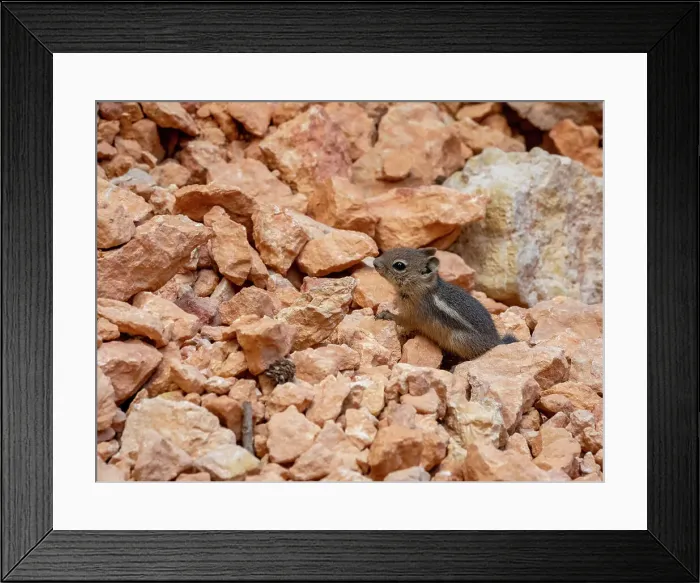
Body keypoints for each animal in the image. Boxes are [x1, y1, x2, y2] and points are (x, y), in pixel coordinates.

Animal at [373, 247, 517, 360]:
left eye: (399, 265)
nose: (375, 262)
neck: (422, 288)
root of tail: (495, 341)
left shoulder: (414, 315)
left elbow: (402, 320)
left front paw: (386, 314)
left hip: (458, 340)